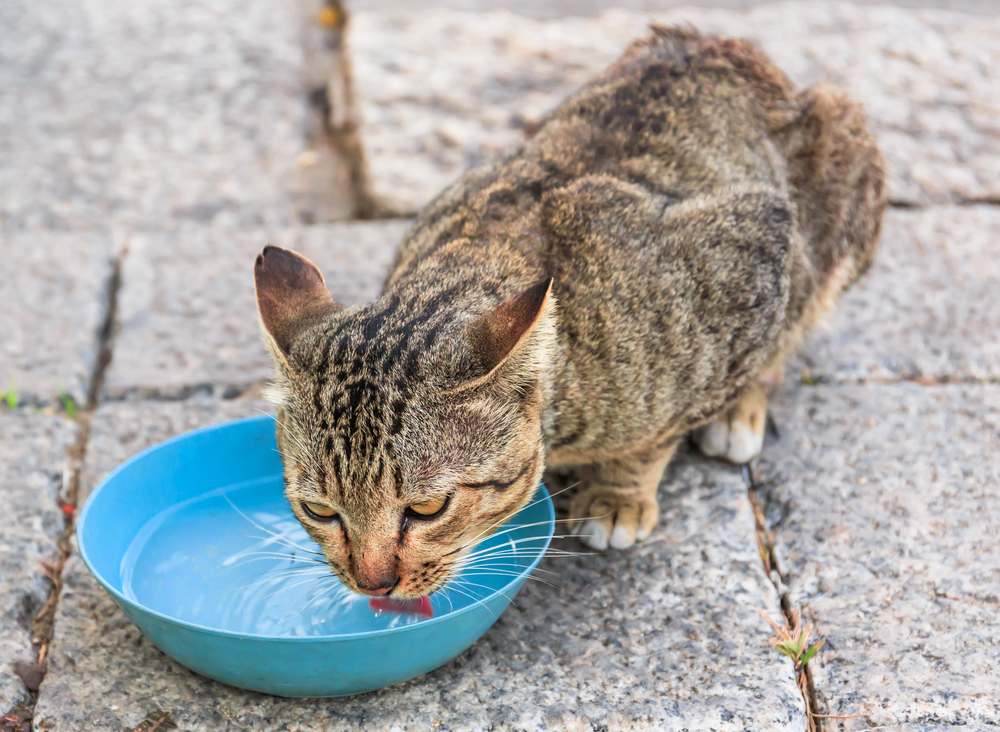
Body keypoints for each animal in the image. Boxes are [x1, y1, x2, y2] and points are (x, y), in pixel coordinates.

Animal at [252, 27, 884, 600]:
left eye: (429, 507)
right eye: (319, 510)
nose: (372, 584)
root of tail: (729, 46)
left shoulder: (753, 258)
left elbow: (654, 435)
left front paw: (621, 493)